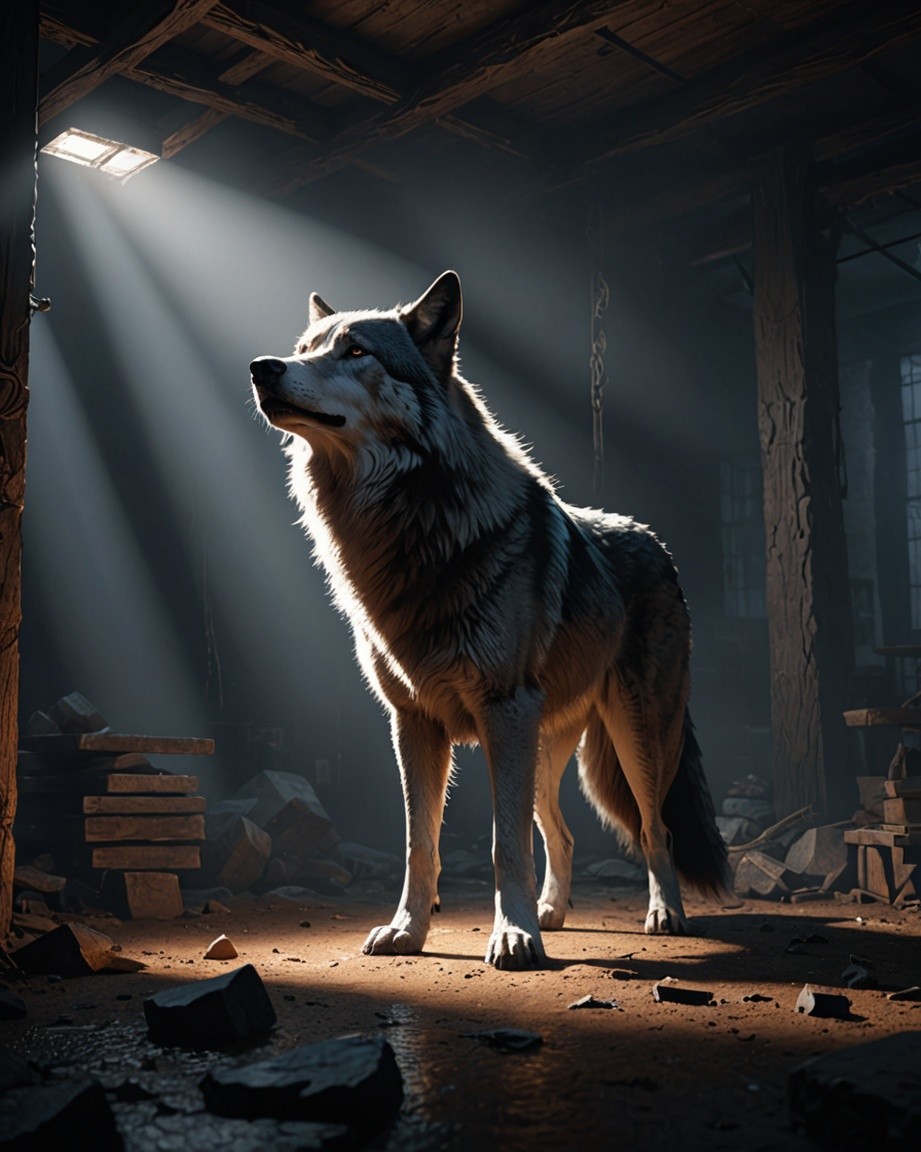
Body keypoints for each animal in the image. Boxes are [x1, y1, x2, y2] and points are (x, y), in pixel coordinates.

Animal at [250, 270, 728, 970]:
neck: (409, 529)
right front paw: (408, 932)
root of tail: (653, 540)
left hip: (629, 736)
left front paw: (514, 936)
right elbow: (421, 844)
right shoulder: (413, 721)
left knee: (653, 827)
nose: (262, 368)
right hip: (543, 750)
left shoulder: (502, 710)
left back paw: (664, 914)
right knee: (560, 833)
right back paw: (555, 913)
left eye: (356, 351)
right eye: (304, 348)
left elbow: (505, 846)